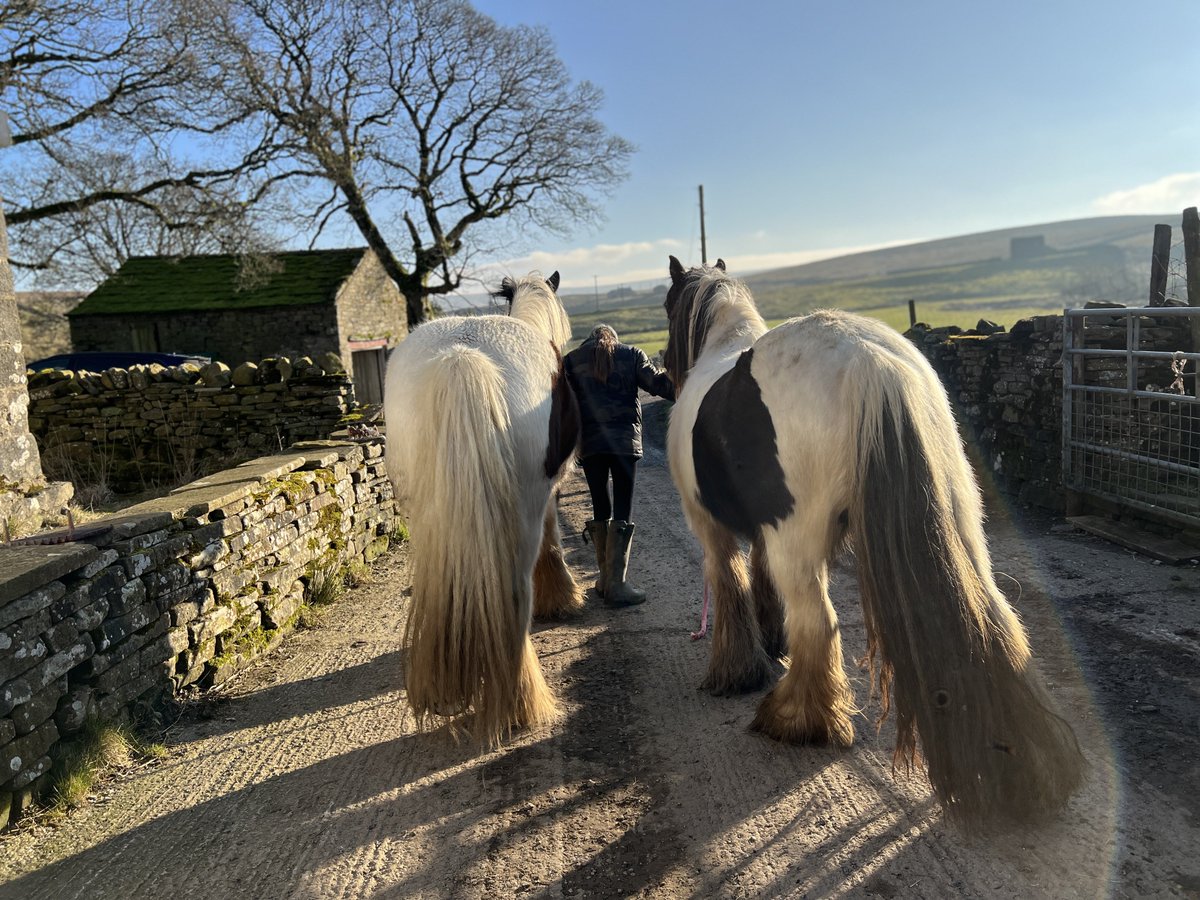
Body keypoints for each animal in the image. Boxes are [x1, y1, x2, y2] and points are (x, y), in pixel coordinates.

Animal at [383, 271, 583, 745]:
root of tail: (461, 356)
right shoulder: (549, 492)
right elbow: (553, 540)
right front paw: (561, 597)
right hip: (521, 515)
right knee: (515, 597)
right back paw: (519, 706)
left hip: (423, 514)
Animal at [662, 255, 1083, 827]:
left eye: (667, 308)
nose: (662, 369)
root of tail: (870, 361)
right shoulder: (761, 534)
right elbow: (762, 581)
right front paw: (771, 643)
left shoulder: (712, 529)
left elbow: (730, 587)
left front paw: (737, 671)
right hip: (960, 521)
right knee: (995, 616)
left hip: (797, 542)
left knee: (820, 623)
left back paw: (794, 719)